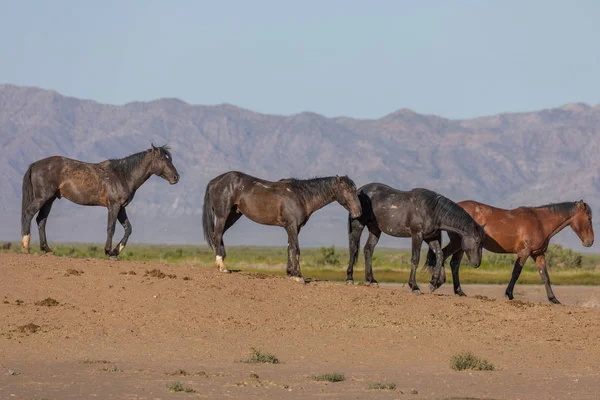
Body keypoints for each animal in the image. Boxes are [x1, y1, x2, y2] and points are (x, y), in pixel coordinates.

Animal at [21, 144, 180, 260]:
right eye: (163, 159)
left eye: (170, 159)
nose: (176, 177)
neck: (122, 175)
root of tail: (35, 164)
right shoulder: (113, 206)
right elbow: (111, 228)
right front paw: (109, 251)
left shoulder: (121, 208)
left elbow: (128, 229)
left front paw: (116, 252)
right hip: (43, 197)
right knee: (29, 214)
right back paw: (25, 247)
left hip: (50, 199)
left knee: (41, 220)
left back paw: (46, 249)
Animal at [202, 171, 360, 282]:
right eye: (346, 189)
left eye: (355, 189)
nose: (358, 211)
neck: (301, 196)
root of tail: (213, 182)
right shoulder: (292, 226)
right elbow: (296, 249)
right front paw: (298, 276)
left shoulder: (294, 227)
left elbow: (289, 248)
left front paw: (290, 273)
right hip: (223, 215)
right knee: (217, 234)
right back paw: (222, 266)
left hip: (234, 215)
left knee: (219, 235)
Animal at [424, 200, 592, 304]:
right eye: (589, 218)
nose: (590, 242)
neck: (539, 222)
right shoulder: (524, 252)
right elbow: (516, 273)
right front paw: (509, 294)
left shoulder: (538, 254)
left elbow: (545, 276)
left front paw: (553, 299)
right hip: (457, 243)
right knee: (442, 255)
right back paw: (435, 283)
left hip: (461, 246)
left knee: (453, 263)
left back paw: (458, 291)